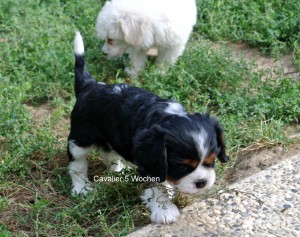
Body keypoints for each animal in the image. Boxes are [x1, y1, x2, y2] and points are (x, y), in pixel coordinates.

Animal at [68, 32, 230, 224]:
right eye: (182, 167)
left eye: (211, 160)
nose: (202, 182)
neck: (168, 116)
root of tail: (90, 85)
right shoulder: (150, 162)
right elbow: (157, 185)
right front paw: (164, 209)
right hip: (80, 138)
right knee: (76, 165)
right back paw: (82, 188)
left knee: (108, 151)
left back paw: (116, 169)